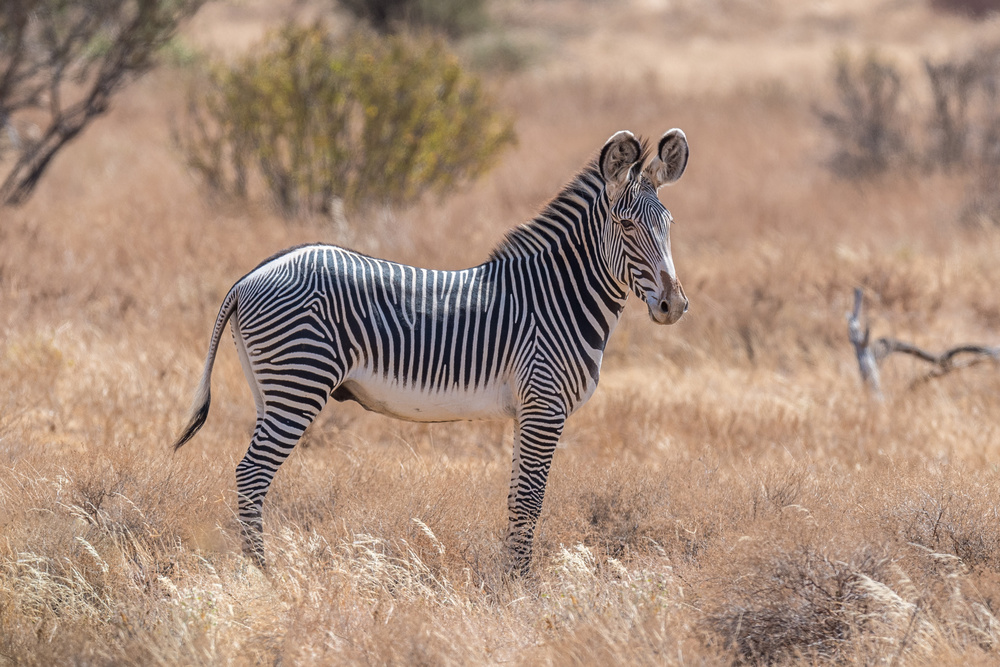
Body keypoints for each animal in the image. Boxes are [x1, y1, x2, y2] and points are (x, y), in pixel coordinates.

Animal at [174, 130, 688, 576]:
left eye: (668, 225)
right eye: (626, 225)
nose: (674, 306)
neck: (558, 297)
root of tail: (251, 276)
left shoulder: (528, 409)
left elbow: (516, 498)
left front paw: (507, 580)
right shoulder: (546, 403)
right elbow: (530, 501)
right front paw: (523, 587)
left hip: (271, 388)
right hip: (298, 383)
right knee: (251, 475)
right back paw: (265, 575)